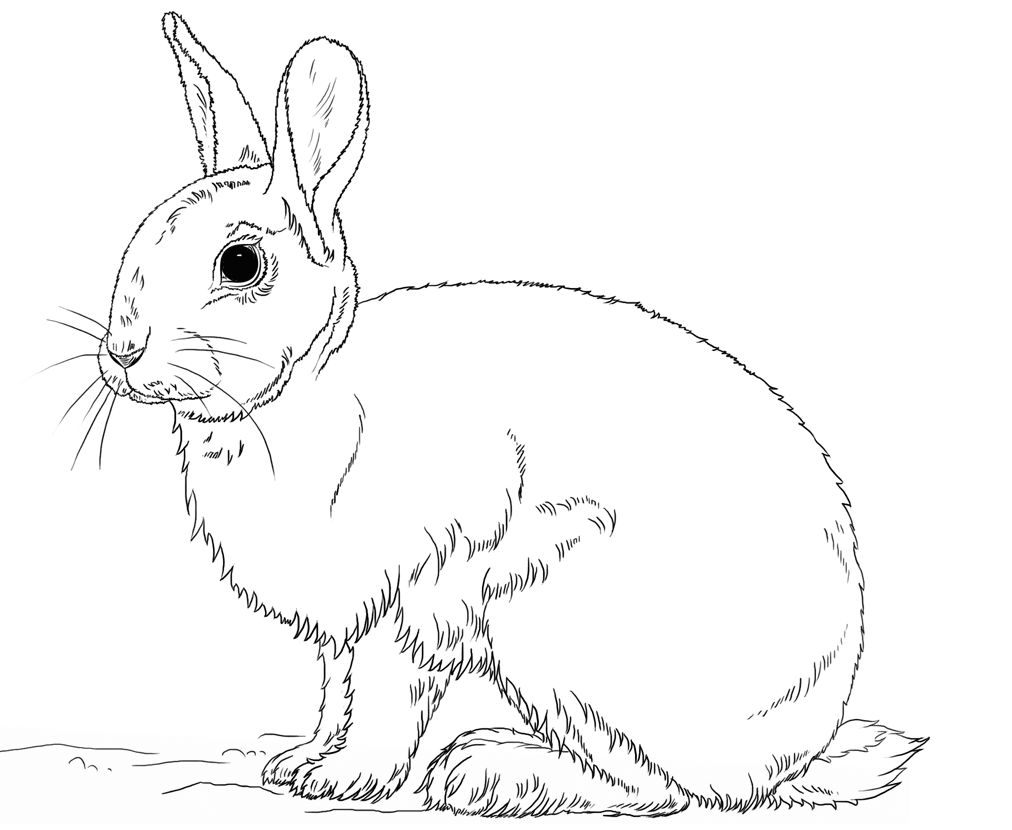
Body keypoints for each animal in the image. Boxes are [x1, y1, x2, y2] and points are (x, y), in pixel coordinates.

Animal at [90, 12, 925, 816]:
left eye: (240, 264)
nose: (120, 352)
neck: (305, 392)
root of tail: (791, 752)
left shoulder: (418, 592)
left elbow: (386, 698)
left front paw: (347, 780)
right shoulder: (343, 625)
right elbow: (336, 693)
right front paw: (298, 764)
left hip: (558, 622)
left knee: (658, 788)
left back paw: (490, 774)